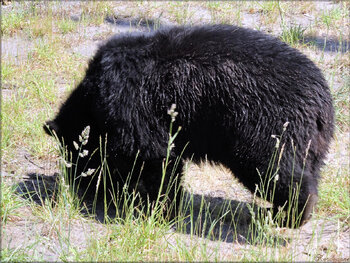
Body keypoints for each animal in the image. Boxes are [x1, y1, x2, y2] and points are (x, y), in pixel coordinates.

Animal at [43, 24, 334, 227]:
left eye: (77, 159)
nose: (78, 189)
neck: (92, 101)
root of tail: (323, 101)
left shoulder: (132, 107)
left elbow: (155, 157)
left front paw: (159, 208)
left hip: (264, 127)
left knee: (275, 170)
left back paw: (288, 216)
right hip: (310, 143)